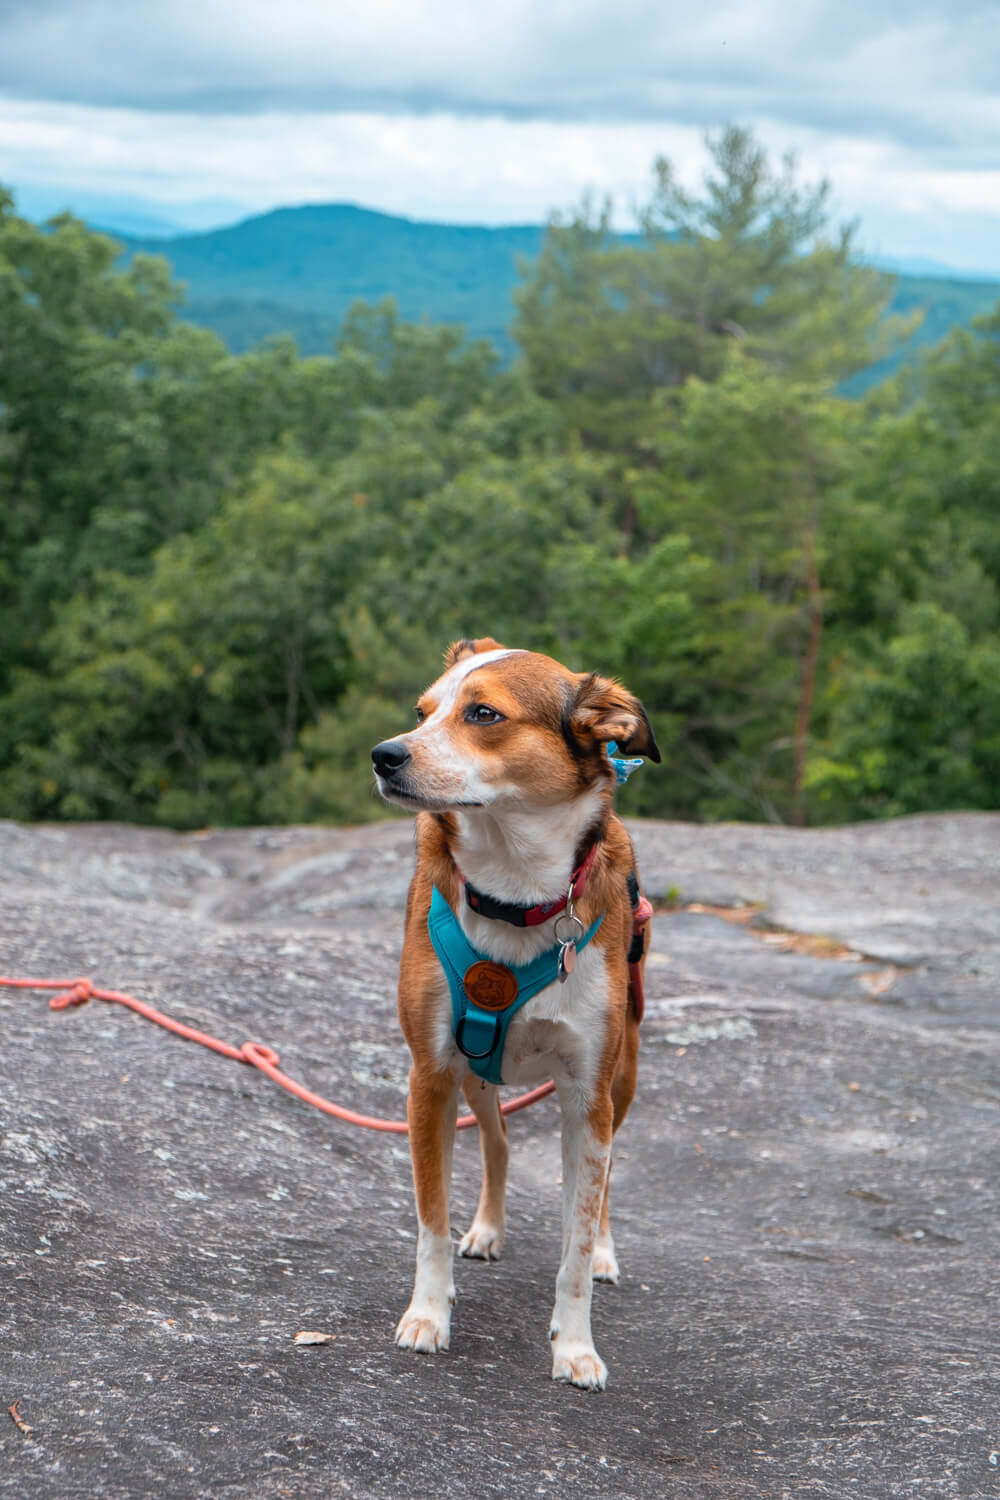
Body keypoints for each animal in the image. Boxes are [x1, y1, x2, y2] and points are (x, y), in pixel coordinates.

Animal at [371, 636, 659, 1392]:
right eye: (423, 711)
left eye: (483, 714)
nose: (384, 754)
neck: (516, 892)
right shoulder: (430, 1077)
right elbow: (431, 1221)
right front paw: (428, 1315)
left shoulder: (587, 1095)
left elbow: (576, 1236)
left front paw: (576, 1347)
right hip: (476, 1073)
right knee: (498, 1143)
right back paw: (487, 1229)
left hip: (623, 1077)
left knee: (605, 1178)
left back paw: (606, 1252)